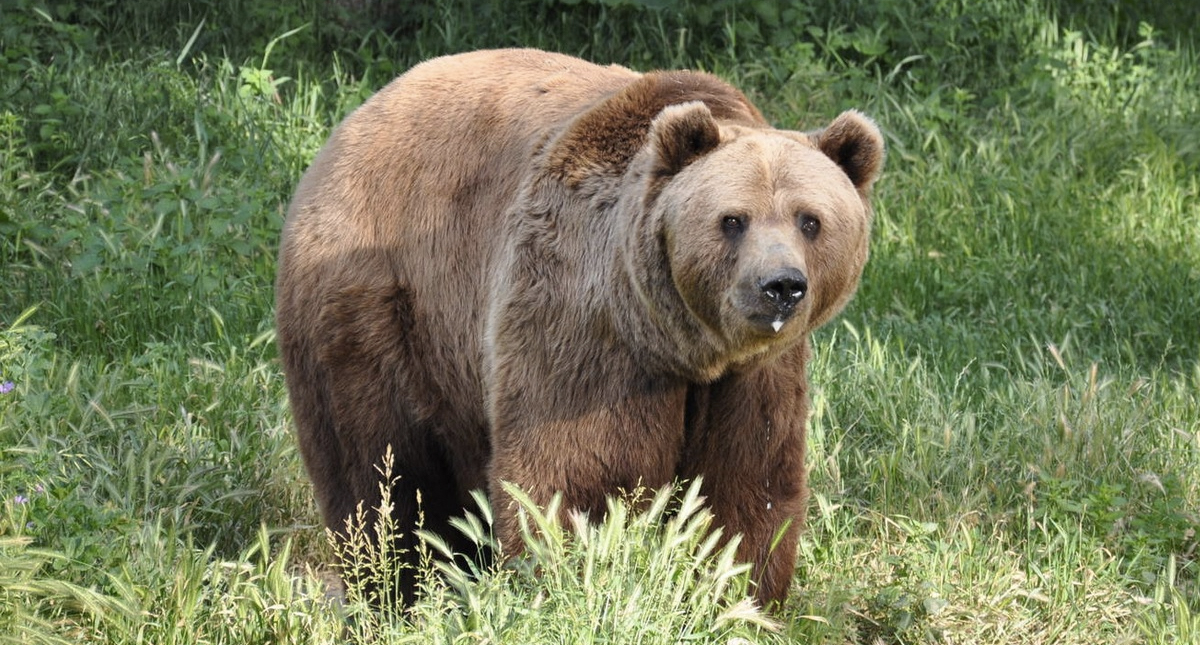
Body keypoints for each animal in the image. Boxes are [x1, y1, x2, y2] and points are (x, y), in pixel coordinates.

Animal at [275, 48, 884, 607]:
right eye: (732, 219)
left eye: (811, 220)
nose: (780, 286)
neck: (679, 343)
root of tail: (354, 120)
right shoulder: (580, 322)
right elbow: (573, 480)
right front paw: (569, 583)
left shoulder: (754, 377)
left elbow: (745, 490)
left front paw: (734, 596)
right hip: (378, 306)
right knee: (381, 471)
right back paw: (394, 588)